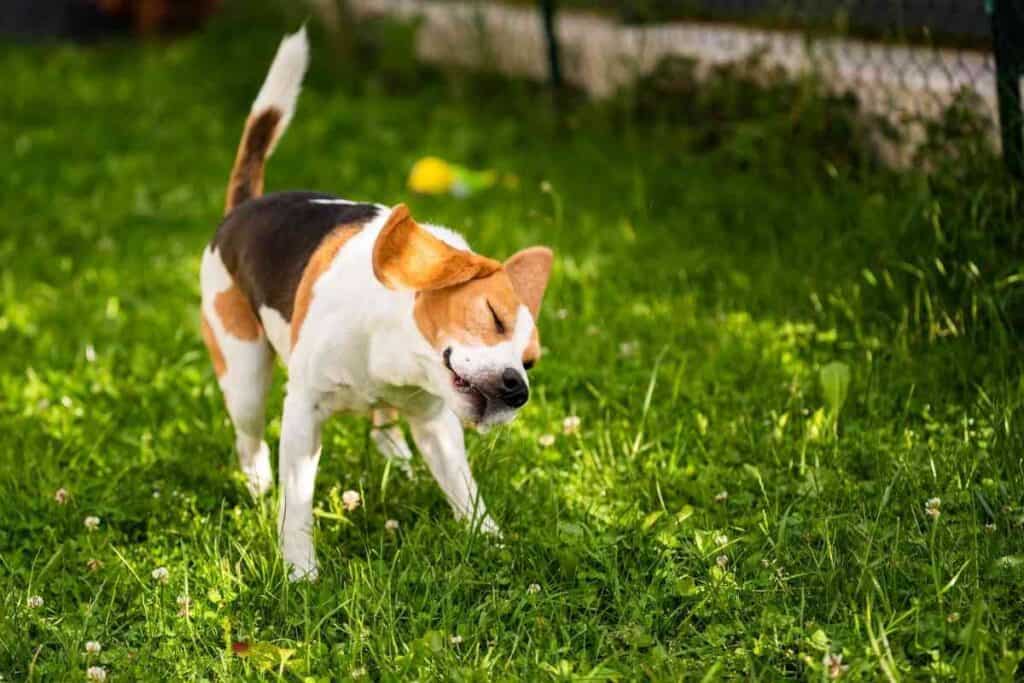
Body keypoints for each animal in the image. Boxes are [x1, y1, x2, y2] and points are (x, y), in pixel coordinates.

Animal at [198, 29, 552, 581]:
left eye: (531, 361)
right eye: (494, 316)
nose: (518, 389)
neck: (396, 353)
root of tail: (244, 206)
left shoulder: (437, 424)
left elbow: (467, 492)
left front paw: (494, 545)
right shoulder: (303, 414)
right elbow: (297, 504)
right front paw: (300, 573)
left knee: (382, 426)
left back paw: (395, 455)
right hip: (244, 378)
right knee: (249, 437)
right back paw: (257, 483)